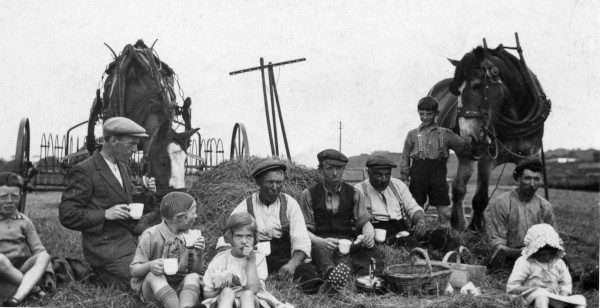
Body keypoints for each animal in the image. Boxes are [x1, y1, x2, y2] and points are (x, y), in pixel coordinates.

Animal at [428, 43, 552, 231]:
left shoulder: (530, 155)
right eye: (456, 92)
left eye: (477, 86)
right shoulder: (486, 159)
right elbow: (480, 198)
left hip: (467, 156)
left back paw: (458, 223)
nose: (466, 135)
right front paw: (475, 228)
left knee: (459, 187)